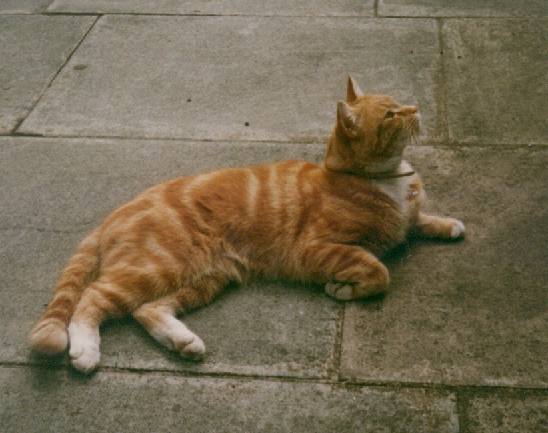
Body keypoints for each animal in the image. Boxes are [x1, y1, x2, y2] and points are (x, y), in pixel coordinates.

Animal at [29, 77, 465, 373]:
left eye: (399, 103)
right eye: (391, 114)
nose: (416, 108)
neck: (385, 179)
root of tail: (116, 212)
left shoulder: (406, 220)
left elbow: (420, 220)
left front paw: (450, 224)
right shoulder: (315, 249)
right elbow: (379, 272)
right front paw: (343, 289)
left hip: (204, 278)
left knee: (146, 309)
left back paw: (183, 342)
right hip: (158, 267)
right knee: (93, 298)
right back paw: (86, 350)